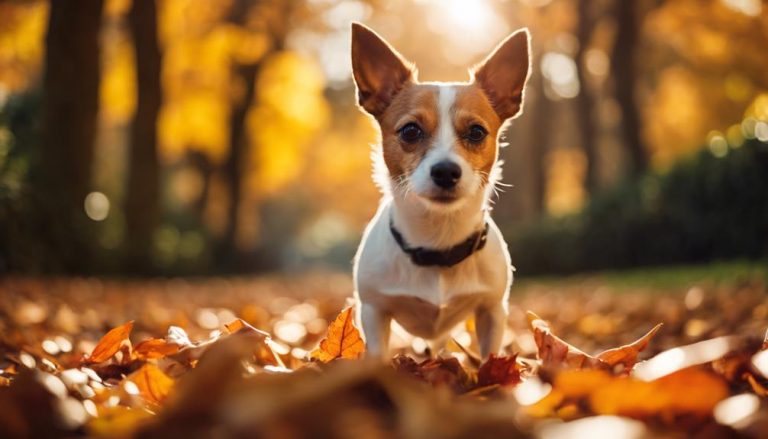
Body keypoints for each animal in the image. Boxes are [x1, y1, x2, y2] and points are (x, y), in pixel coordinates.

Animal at [352, 22, 532, 360]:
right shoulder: (374, 311)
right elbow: (377, 354)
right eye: (410, 131)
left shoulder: (491, 311)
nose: (446, 171)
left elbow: (489, 357)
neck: (438, 242)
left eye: (476, 132)